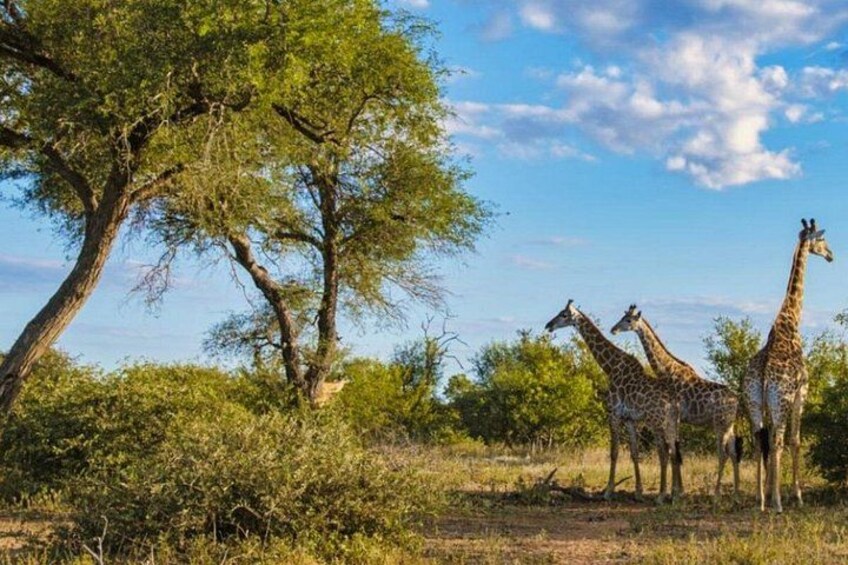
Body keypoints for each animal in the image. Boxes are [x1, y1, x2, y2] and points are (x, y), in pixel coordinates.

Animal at [545, 300, 682, 502]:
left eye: (563, 314)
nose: (548, 325)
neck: (610, 367)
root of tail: (674, 402)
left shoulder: (613, 414)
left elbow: (614, 452)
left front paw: (608, 491)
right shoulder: (629, 419)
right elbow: (634, 453)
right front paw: (638, 492)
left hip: (656, 422)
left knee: (664, 453)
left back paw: (661, 496)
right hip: (671, 422)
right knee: (673, 452)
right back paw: (674, 495)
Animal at [611, 305, 741, 500]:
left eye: (628, 320)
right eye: (622, 316)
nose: (613, 329)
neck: (667, 370)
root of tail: (737, 400)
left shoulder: (676, 415)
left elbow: (674, 451)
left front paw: (675, 492)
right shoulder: (676, 418)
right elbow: (676, 451)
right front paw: (678, 491)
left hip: (720, 425)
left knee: (723, 454)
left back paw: (717, 494)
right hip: (729, 425)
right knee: (732, 452)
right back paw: (736, 493)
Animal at [745, 218, 833, 513]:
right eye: (822, 240)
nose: (831, 255)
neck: (790, 322)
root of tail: (762, 375)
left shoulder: (769, 404)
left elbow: (769, 442)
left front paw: (768, 492)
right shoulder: (801, 393)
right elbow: (796, 441)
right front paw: (797, 495)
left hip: (754, 402)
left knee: (760, 439)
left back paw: (760, 500)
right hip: (781, 401)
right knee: (779, 441)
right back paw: (779, 503)